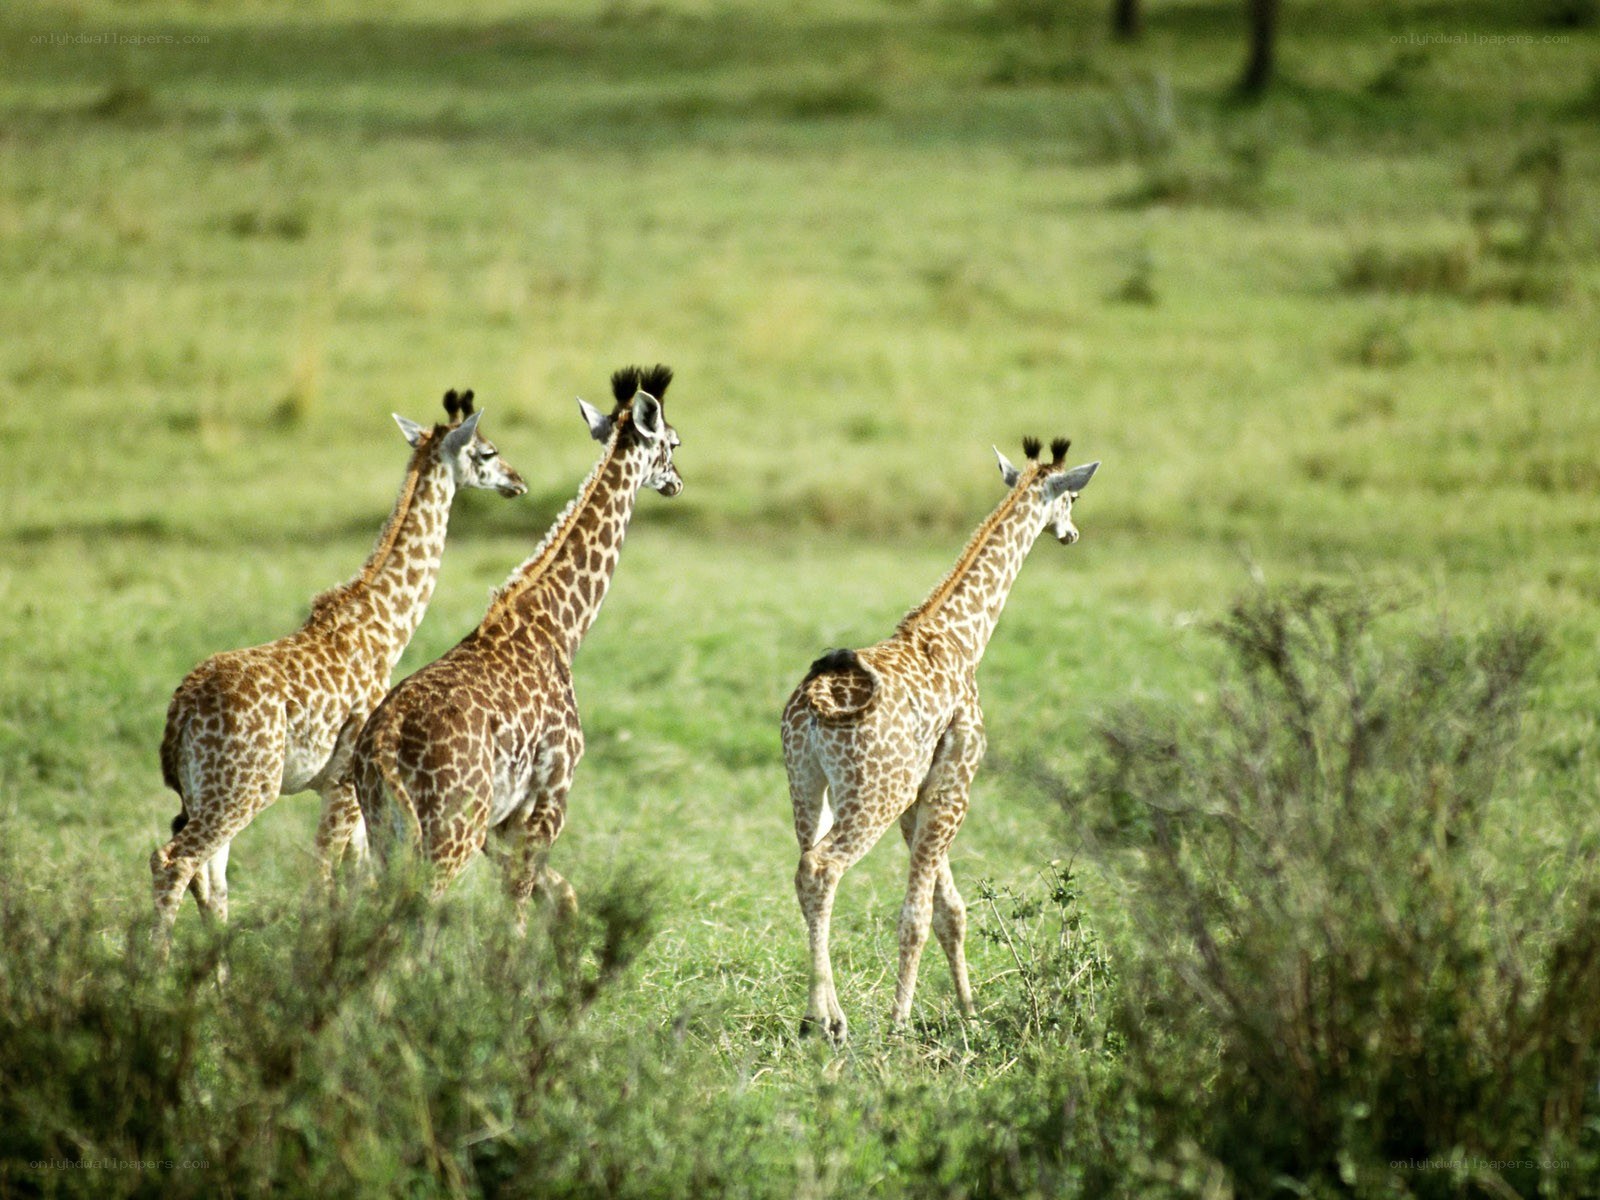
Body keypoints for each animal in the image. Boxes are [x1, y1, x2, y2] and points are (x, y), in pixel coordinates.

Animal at [152, 391, 528, 942]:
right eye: (487, 452)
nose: (518, 482)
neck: (383, 628)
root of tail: (179, 714)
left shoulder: (348, 790)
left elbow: (355, 875)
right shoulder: (344, 783)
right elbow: (326, 875)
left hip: (208, 790)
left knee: (210, 878)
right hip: (244, 788)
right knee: (173, 861)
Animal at [351, 365, 682, 924]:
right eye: (673, 442)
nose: (677, 482)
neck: (560, 627)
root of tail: (383, 748)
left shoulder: (503, 818)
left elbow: (555, 894)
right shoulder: (553, 791)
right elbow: (519, 909)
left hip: (385, 831)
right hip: (449, 830)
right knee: (419, 910)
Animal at [781, 436, 1100, 1043]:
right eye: (1071, 499)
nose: (1072, 535)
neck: (962, 637)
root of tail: (813, 707)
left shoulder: (920, 796)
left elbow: (952, 910)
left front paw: (970, 1013)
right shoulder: (954, 784)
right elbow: (920, 914)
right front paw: (901, 1024)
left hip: (806, 787)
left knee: (805, 870)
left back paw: (822, 1016)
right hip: (871, 797)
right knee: (823, 868)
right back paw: (829, 1019)